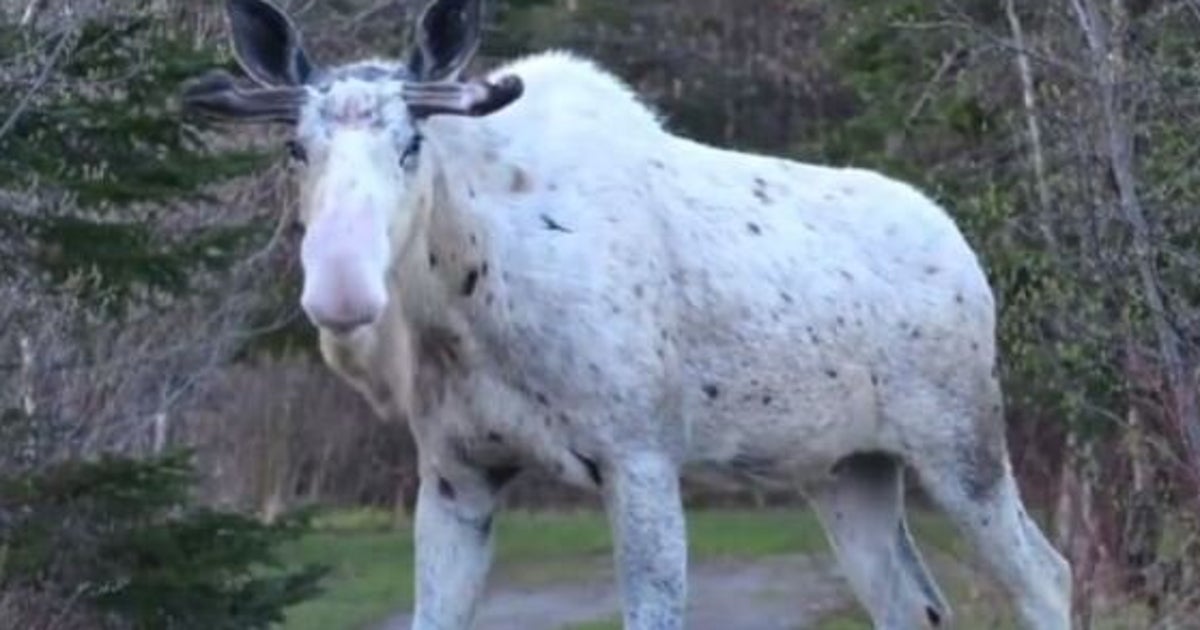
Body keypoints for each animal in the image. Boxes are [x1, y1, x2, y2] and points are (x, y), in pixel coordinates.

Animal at [184, 0, 1070, 624]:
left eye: (412, 144)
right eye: (296, 149)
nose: (341, 287)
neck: (461, 305)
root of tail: (967, 256)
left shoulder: (639, 457)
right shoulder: (455, 474)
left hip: (960, 445)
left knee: (1048, 575)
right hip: (845, 469)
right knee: (913, 603)